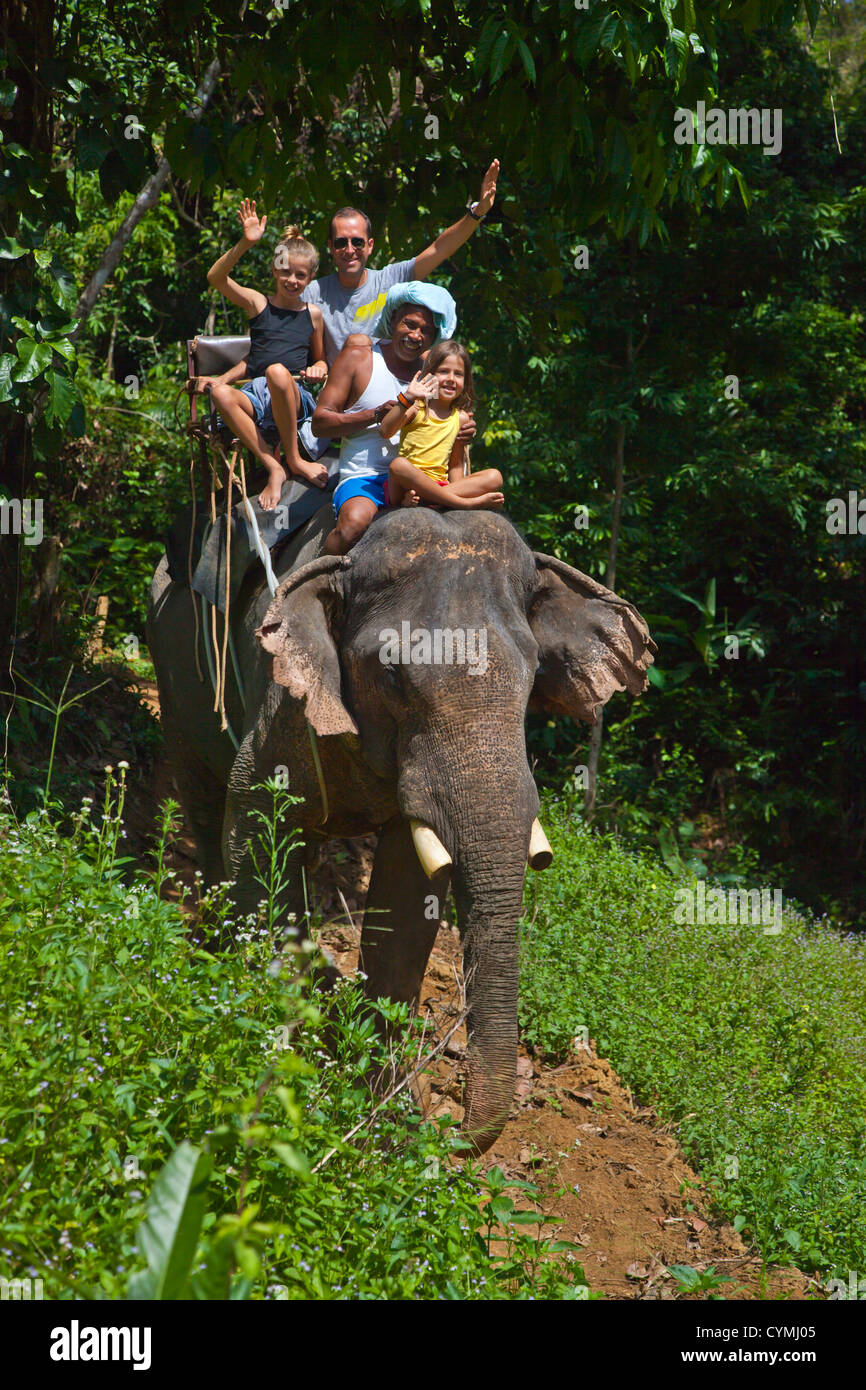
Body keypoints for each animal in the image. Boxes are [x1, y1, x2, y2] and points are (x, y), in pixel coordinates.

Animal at [146, 503, 655, 1153]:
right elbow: (256, 828)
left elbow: (409, 899)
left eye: (533, 675)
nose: (452, 1128)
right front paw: (259, 1061)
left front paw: (383, 1112)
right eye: (393, 678)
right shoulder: (280, 704)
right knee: (205, 798)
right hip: (173, 666)